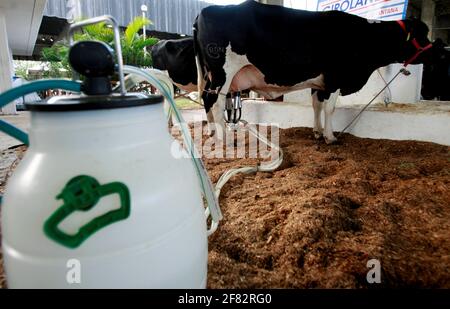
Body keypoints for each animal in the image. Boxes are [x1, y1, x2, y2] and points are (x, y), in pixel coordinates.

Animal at [193, 0, 432, 143]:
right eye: (421, 35)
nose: (436, 51)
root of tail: (205, 11)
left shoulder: (320, 83)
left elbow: (316, 106)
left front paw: (317, 132)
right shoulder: (335, 78)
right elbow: (329, 109)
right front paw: (330, 137)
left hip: (211, 75)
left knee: (206, 99)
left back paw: (213, 132)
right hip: (222, 73)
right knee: (214, 101)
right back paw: (222, 136)